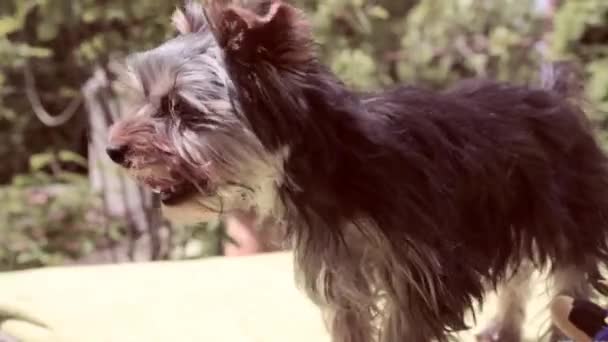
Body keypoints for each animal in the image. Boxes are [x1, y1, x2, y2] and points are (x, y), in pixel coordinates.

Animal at [107, 1, 608, 340]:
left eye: (179, 108)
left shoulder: (422, 278)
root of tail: (554, 95)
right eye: (146, 99)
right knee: (519, 272)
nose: (113, 150)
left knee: (571, 281)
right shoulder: (341, 274)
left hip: (568, 210)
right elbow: (351, 318)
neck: (334, 168)